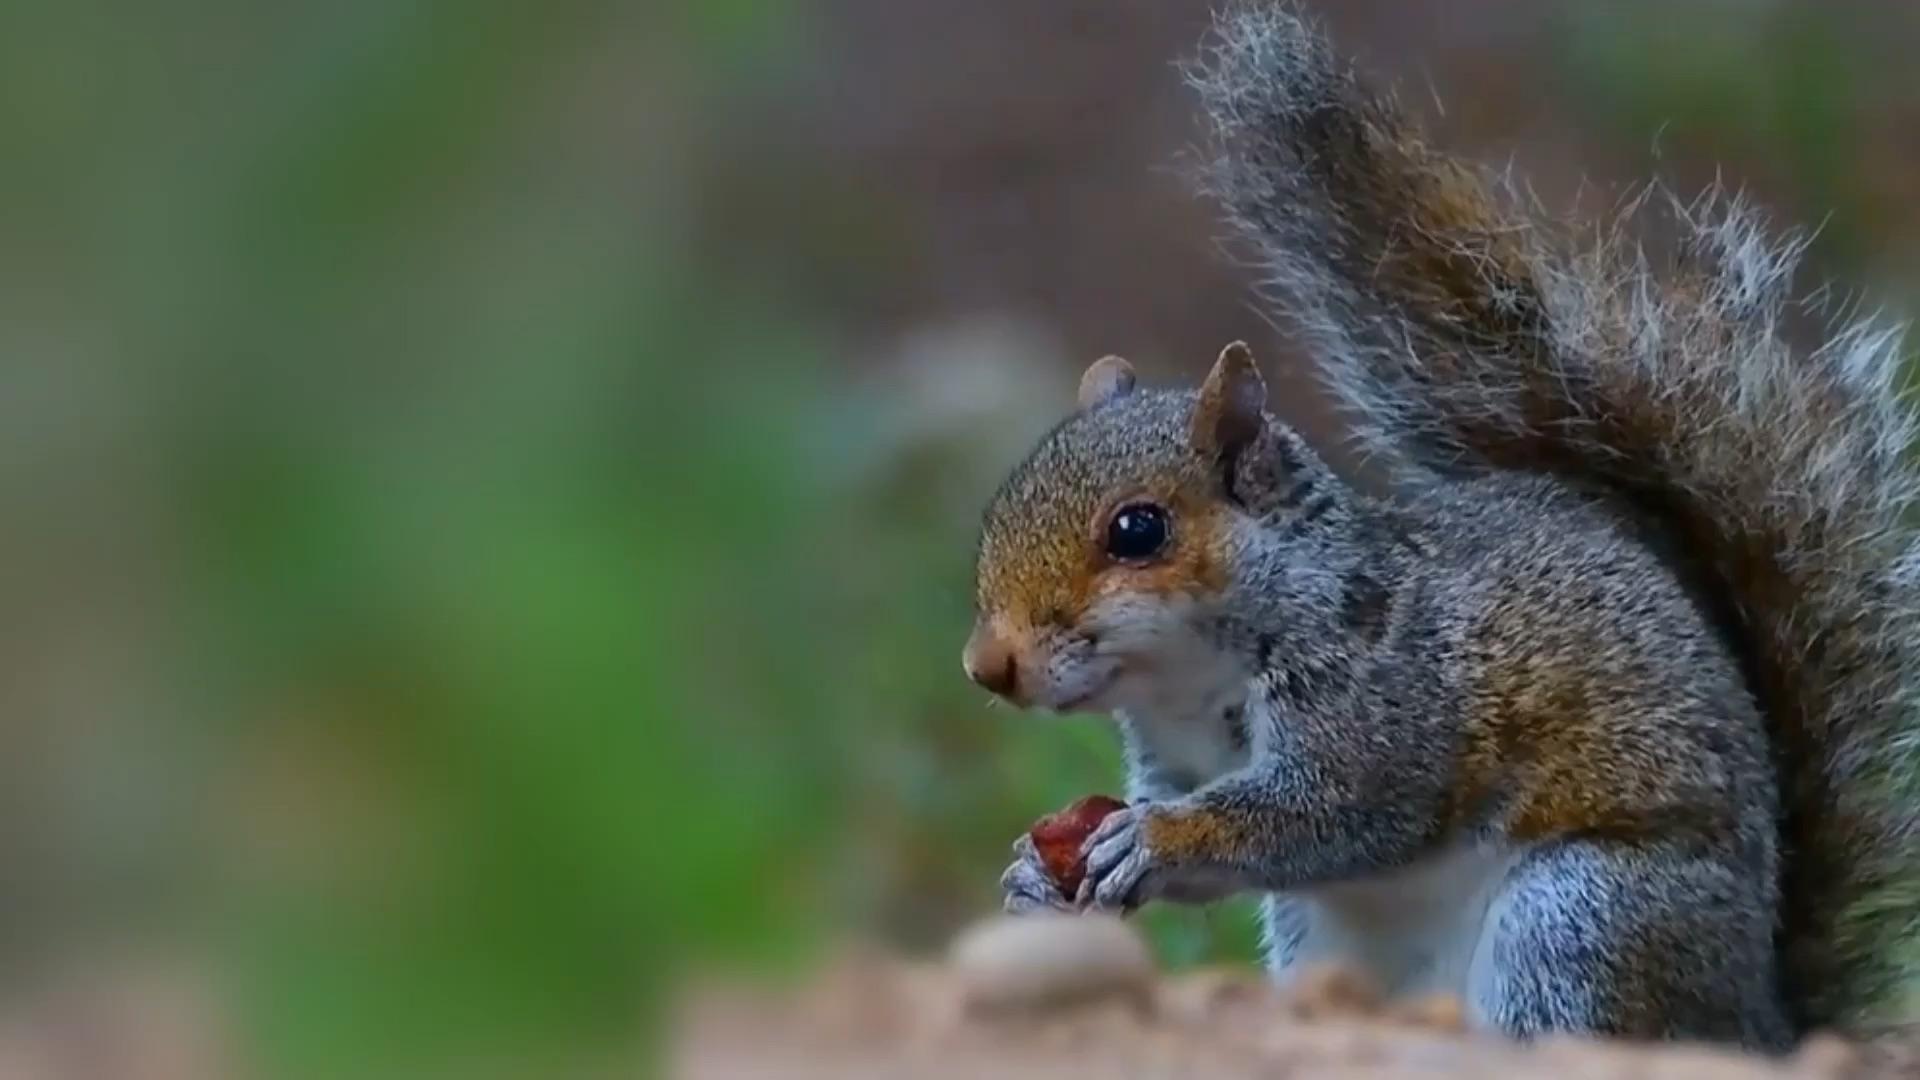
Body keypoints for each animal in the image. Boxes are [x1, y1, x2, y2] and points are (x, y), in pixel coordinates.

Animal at [967, 0, 1920, 1045]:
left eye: (1139, 531)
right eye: (1001, 508)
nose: (988, 666)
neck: (1192, 672)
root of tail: (1756, 1018)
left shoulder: (1387, 706)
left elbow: (1329, 814)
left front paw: (1156, 838)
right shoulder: (1170, 750)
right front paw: (1033, 876)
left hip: (1580, 921)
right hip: (1326, 943)